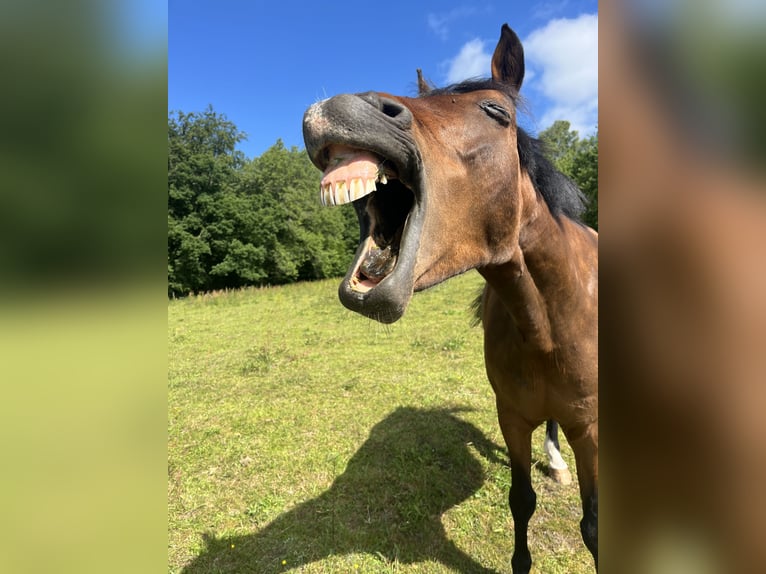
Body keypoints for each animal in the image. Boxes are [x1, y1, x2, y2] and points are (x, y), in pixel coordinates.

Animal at [302, 23, 600, 574]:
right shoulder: (511, 416)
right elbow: (520, 500)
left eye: (496, 112)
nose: (340, 106)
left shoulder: (589, 429)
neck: (550, 316)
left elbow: (592, 526)